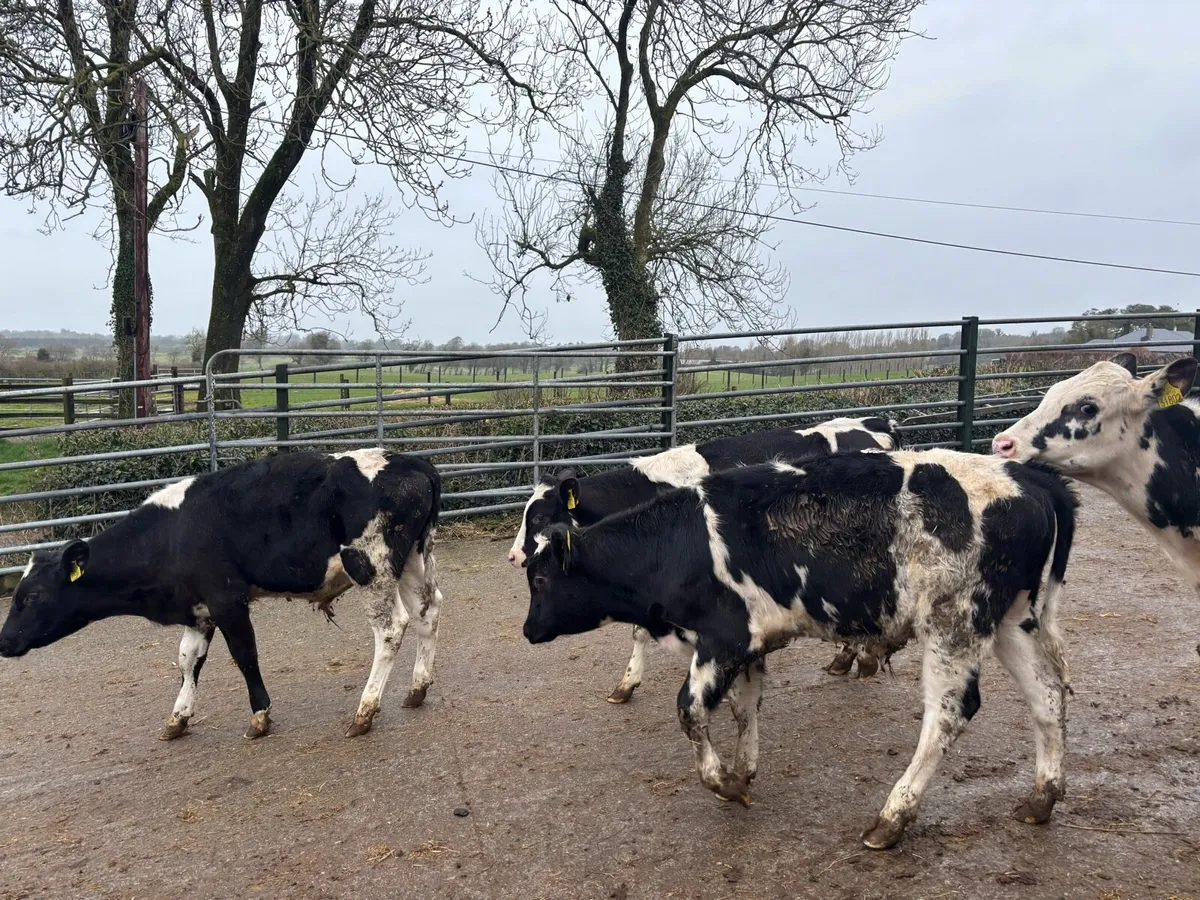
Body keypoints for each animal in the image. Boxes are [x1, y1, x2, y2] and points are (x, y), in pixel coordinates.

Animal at [0, 448, 443, 742]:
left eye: (32, 596)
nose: (4, 641)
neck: (174, 533)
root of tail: (412, 462)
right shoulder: (199, 610)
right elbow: (187, 660)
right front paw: (178, 717)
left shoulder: (227, 599)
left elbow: (244, 655)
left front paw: (260, 716)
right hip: (414, 560)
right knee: (429, 611)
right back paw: (417, 689)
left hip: (371, 566)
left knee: (392, 628)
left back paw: (365, 711)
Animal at [508, 416, 903, 701]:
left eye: (539, 518)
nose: (513, 556)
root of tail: (878, 423)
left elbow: (641, 631)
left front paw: (628, 683)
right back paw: (846, 659)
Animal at [521, 449, 1077, 849]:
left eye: (542, 577)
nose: (527, 630)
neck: (680, 544)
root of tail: (1032, 479)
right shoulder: (750, 646)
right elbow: (745, 709)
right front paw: (742, 772)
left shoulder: (724, 637)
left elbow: (690, 711)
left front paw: (722, 781)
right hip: (1014, 621)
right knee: (1046, 697)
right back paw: (1042, 798)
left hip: (954, 623)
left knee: (948, 714)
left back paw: (892, 817)